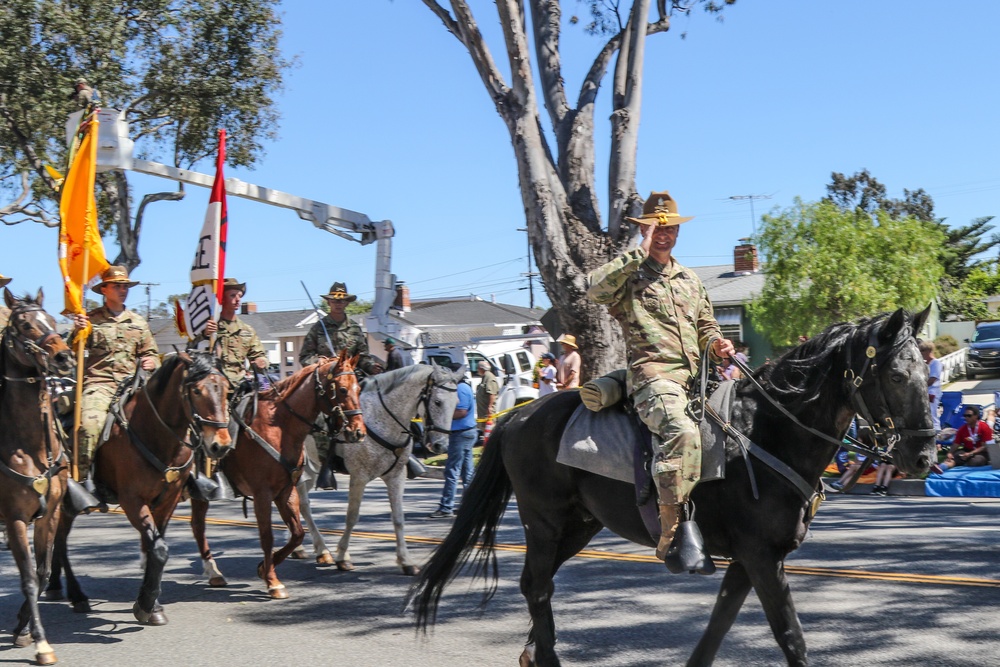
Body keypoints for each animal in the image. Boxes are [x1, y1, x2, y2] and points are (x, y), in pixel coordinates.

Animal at [48, 352, 234, 628]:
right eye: (196, 390)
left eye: (226, 389)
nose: (220, 445)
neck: (155, 434)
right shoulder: (132, 500)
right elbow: (158, 550)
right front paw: (147, 605)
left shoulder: (167, 500)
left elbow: (154, 548)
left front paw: (151, 602)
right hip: (68, 500)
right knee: (59, 539)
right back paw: (76, 594)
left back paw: (54, 585)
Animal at [189, 350, 366, 600]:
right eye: (341, 389)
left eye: (358, 389)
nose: (358, 432)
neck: (280, 428)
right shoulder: (262, 494)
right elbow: (267, 536)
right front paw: (273, 582)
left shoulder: (286, 491)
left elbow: (297, 533)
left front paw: (265, 568)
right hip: (197, 492)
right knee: (197, 526)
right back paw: (212, 572)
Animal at [290, 362, 460, 576]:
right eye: (437, 402)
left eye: (456, 403)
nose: (440, 446)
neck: (382, 418)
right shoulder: (359, 477)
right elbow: (352, 516)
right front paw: (343, 557)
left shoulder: (396, 476)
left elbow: (398, 518)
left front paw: (406, 561)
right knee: (296, 504)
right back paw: (307, 549)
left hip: (311, 470)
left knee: (301, 505)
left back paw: (319, 551)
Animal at [412, 310, 936, 667]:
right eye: (895, 374)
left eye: (922, 371)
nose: (925, 456)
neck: (768, 434)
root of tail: (516, 417)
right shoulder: (761, 558)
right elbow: (791, 636)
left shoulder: (749, 562)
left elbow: (717, 629)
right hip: (544, 522)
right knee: (537, 587)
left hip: (578, 526)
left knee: (535, 585)